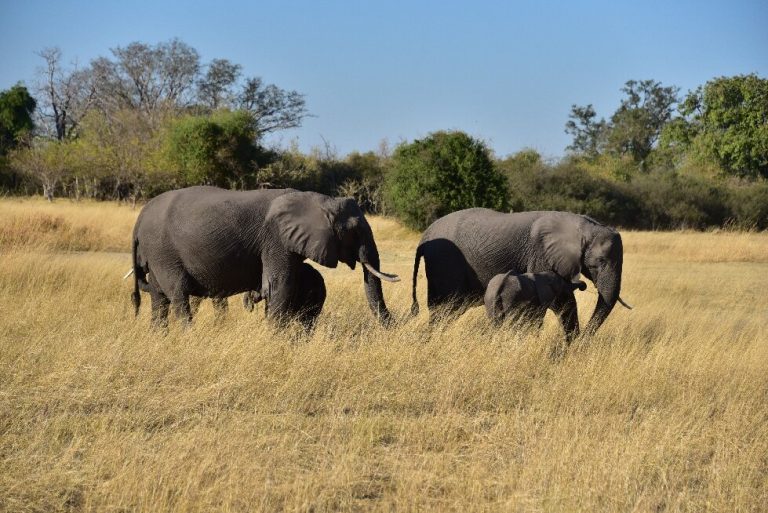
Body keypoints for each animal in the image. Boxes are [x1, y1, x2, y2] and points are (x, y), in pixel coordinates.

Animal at [128, 186, 398, 329]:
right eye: (354, 231)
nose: (394, 326)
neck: (317, 199)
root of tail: (140, 217)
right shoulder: (275, 239)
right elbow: (280, 285)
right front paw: (276, 337)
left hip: (158, 254)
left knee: (159, 299)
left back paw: (159, 336)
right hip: (163, 252)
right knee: (178, 295)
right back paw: (187, 335)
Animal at [411, 209, 631, 340]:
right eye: (600, 262)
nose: (584, 340)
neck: (586, 226)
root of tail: (424, 236)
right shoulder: (542, 254)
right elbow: (563, 300)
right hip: (445, 263)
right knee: (445, 309)